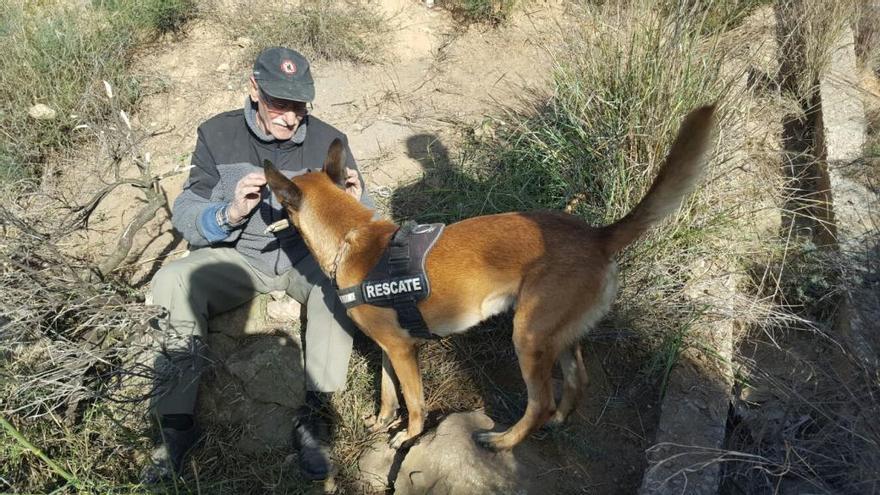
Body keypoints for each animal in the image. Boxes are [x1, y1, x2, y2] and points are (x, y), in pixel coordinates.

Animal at [266, 105, 716, 454]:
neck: (352, 239)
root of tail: (596, 235)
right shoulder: (390, 349)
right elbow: (388, 392)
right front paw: (382, 421)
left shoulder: (403, 351)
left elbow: (414, 402)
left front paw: (408, 437)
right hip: (558, 337)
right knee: (575, 382)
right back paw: (555, 422)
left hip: (528, 338)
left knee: (540, 401)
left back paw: (503, 441)